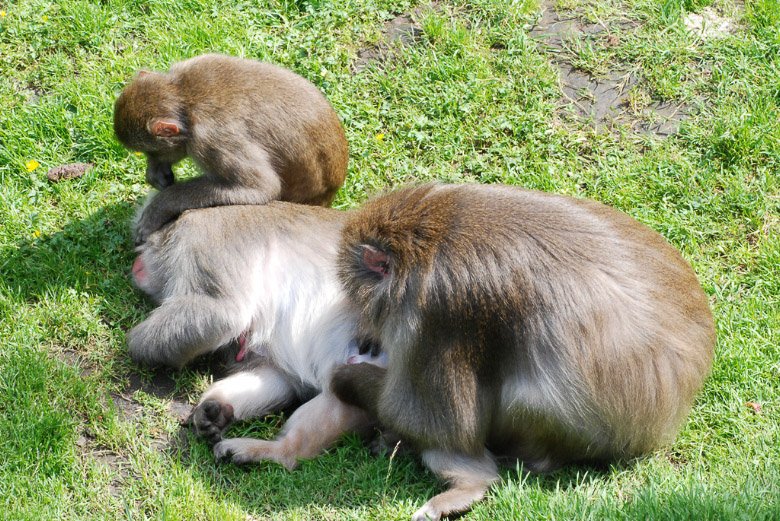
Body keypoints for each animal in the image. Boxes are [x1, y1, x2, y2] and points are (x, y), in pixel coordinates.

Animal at [114, 53, 349, 244]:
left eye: (151, 151)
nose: (153, 163)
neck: (184, 97)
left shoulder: (211, 139)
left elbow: (260, 187)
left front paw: (159, 207)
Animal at [127, 200, 386, 466]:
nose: (136, 262)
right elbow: (280, 377)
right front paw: (215, 410)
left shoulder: (203, 236)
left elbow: (221, 313)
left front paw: (135, 348)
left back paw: (278, 452)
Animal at [329, 182, 716, 521]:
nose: (367, 335)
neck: (426, 242)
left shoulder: (433, 317)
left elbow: (434, 422)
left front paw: (345, 378)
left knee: (516, 402)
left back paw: (472, 484)